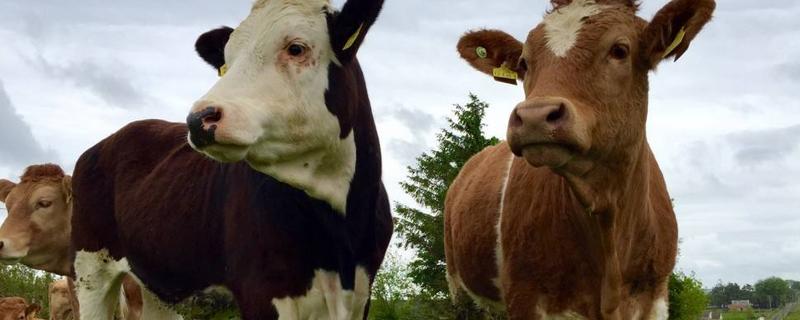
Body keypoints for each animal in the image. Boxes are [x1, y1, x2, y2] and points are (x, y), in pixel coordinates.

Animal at [446, 0, 716, 320]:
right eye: (523, 63)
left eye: (619, 50)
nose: (535, 116)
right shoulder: (525, 295)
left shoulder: (655, 295)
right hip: (459, 289)